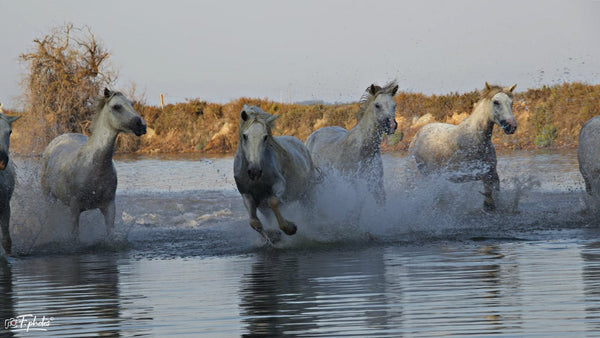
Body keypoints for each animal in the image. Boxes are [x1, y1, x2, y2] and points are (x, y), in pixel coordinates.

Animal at [41, 88, 146, 240]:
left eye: (131, 104)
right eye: (117, 106)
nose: (142, 126)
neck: (94, 167)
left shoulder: (109, 207)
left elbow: (110, 233)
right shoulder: (75, 207)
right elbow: (75, 235)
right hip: (48, 196)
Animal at [234, 104, 318, 242]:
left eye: (265, 137)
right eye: (245, 136)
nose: (254, 172)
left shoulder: (279, 185)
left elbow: (273, 202)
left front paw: (290, 228)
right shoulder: (246, 194)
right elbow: (254, 223)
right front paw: (273, 236)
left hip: (308, 193)